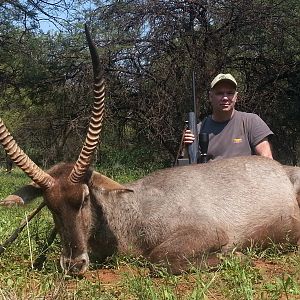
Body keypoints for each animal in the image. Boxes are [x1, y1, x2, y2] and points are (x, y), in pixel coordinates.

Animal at [0, 25, 300, 274]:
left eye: (84, 197)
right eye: (50, 206)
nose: (74, 264)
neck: (134, 211)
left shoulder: (209, 232)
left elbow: (159, 258)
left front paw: (236, 256)